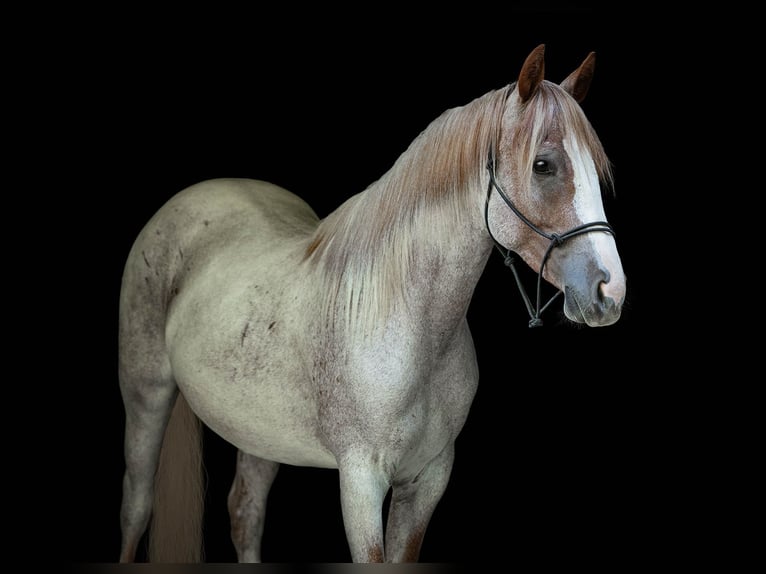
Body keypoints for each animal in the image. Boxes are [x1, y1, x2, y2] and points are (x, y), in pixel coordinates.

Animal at [117, 43, 626, 563]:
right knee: (137, 506)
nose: (610, 290)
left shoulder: (428, 479)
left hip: (258, 430)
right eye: (543, 165)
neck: (407, 326)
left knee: (245, 512)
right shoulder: (361, 481)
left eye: (595, 168)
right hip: (145, 395)